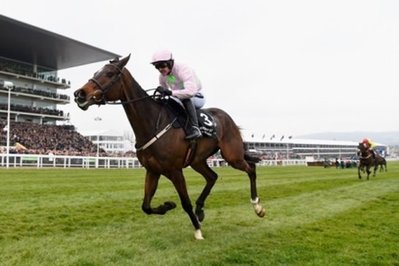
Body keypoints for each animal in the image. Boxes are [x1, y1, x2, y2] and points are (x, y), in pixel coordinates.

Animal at [75, 55, 268, 240]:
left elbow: (185, 202)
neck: (153, 124)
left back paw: (257, 206)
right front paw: (168, 205)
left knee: (251, 168)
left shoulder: (175, 171)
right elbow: (145, 206)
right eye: (95, 72)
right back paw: (200, 210)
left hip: (232, 155)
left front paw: (198, 232)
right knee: (213, 177)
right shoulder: (153, 170)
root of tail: (227, 117)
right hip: (197, 160)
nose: (80, 94)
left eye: (109, 74)